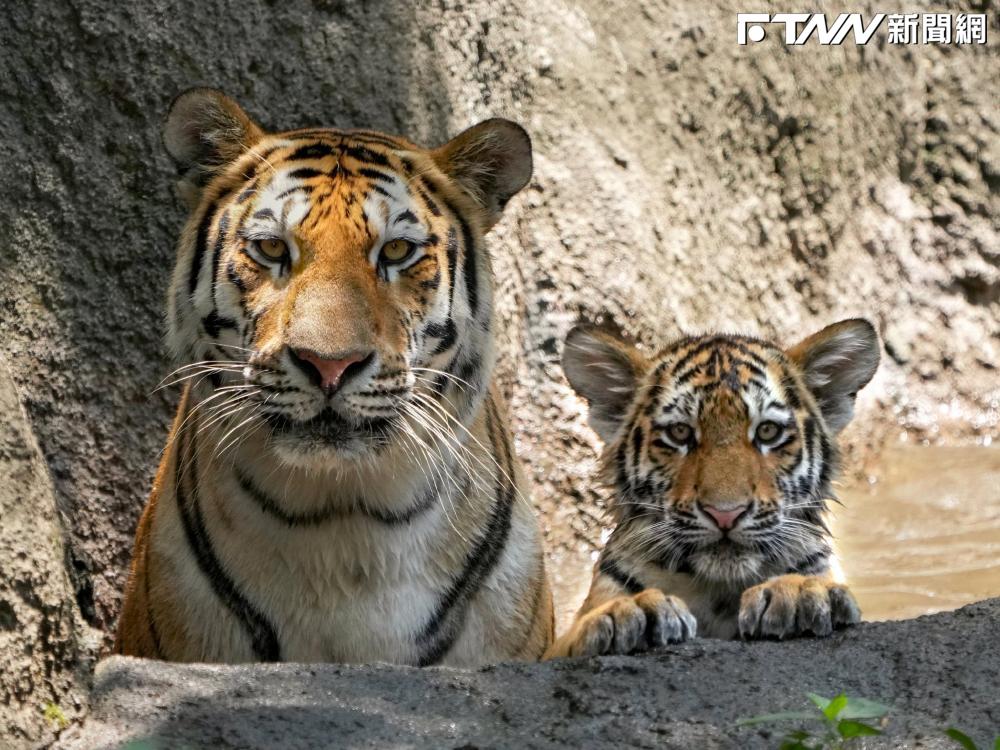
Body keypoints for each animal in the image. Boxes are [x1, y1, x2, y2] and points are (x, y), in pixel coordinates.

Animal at [545, 319, 880, 658]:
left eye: (767, 431)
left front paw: (798, 592)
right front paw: (629, 610)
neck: (717, 589)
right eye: (680, 433)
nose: (725, 515)